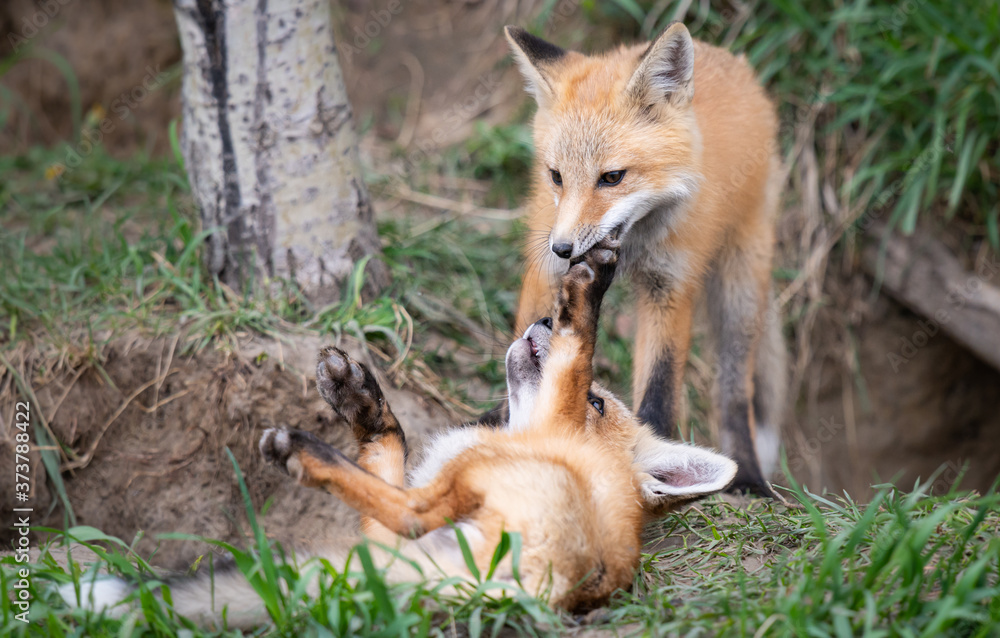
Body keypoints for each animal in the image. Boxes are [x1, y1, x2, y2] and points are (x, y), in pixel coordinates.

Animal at [59, 245, 736, 627]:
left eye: (596, 403)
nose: (544, 318)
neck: (534, 435)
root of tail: (553, 593)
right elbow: (384, 453)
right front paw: (361, 401)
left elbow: (577, 354)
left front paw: (587, 290)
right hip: (412, 536)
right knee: (393, 505)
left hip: (462, 499)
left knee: (408, 511)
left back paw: (302, 452)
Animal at [505, 23, 787, 496]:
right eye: (556, 176)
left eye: (612, 177)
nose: (562, 248)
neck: (633, 245)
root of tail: (731, 62)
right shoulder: (546, 268)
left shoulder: (670, 285)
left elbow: (659, 388)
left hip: (740, 289)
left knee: (734, 394)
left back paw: (750, 479)